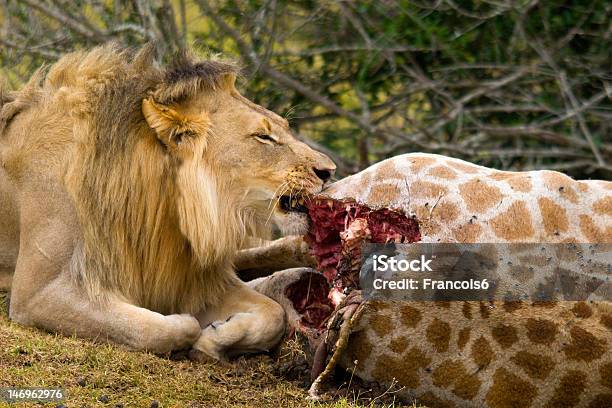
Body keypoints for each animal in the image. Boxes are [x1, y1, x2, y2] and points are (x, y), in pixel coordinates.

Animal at [0, 43, 334, 358]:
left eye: (284, 128)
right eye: (263, 137)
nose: (328, 171)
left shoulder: (190, 279)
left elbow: (273, 314)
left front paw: (213, 341)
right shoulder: (37, 293)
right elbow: (162, 328)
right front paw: (189, 327)